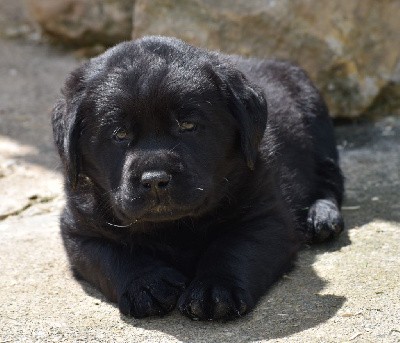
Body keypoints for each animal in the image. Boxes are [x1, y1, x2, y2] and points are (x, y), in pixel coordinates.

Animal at [51, 36, 344, 322]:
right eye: (119, 134)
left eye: (188, 125)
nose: (155, 180)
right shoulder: (79, 229)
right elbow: (112, 256)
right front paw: (146, 284)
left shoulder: (267, 217)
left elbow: (235, 248)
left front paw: (215, 289)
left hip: (317, 125)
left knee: (329, 181)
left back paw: (321, 217)